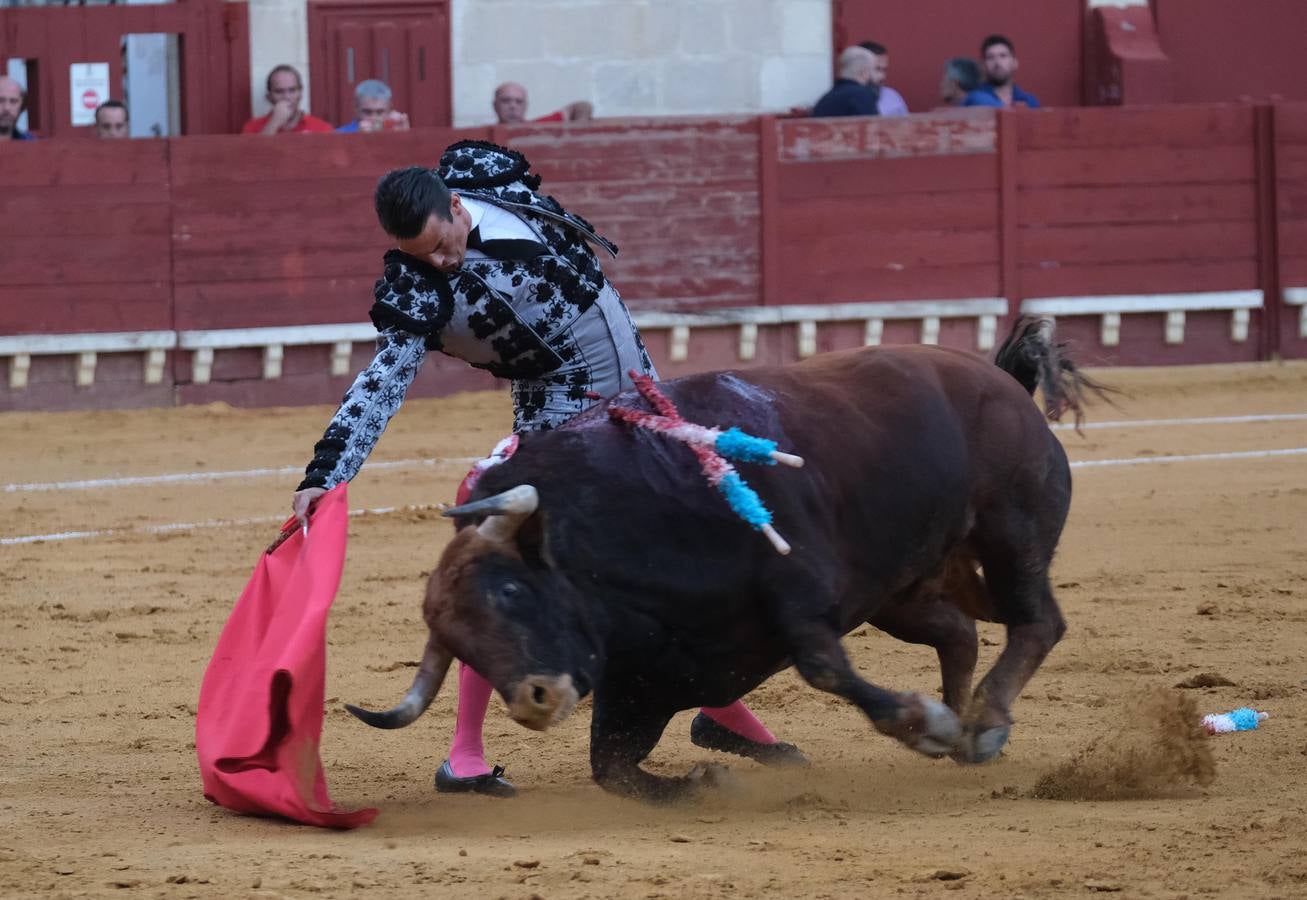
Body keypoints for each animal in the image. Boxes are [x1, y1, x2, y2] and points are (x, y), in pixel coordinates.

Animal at [347, 316, 1103, 799]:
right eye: (458, 643)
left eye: (510, 591)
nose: (534, 701)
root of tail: (1002, 382)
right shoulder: (645, 678)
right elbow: (610, 770)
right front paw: (710, 778)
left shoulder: (802, 595)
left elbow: (825, 668)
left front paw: (923, 726)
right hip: (902, 588)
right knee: (960, 631)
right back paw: (966, 726)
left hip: (1010, 532)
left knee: (1037, 621)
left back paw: (982, 721)